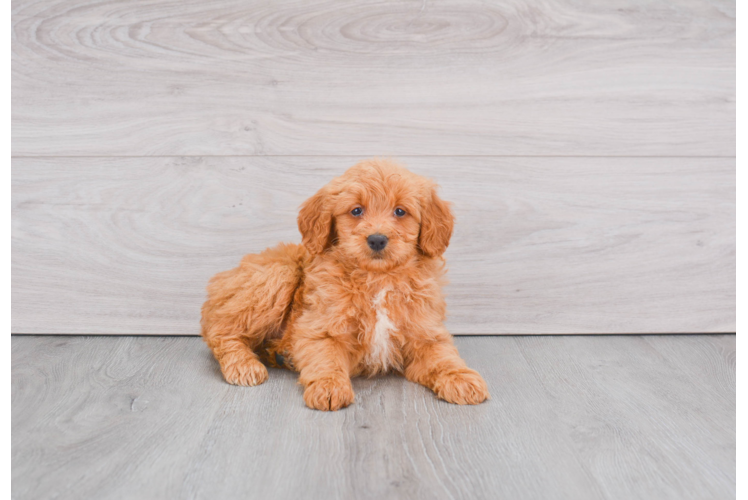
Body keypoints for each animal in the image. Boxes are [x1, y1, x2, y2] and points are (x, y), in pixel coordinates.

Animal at [202, 159, 488, 410]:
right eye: (356, 210)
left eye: (400, 211)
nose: (377, 239)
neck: (377, 279)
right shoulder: (321, 328)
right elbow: (326, 358)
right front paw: (328, 387)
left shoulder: (425, 333)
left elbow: (443, 357)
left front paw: (461, 378)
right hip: (277, 275)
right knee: (219, 331)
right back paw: (244, 365)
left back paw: (278, 354)